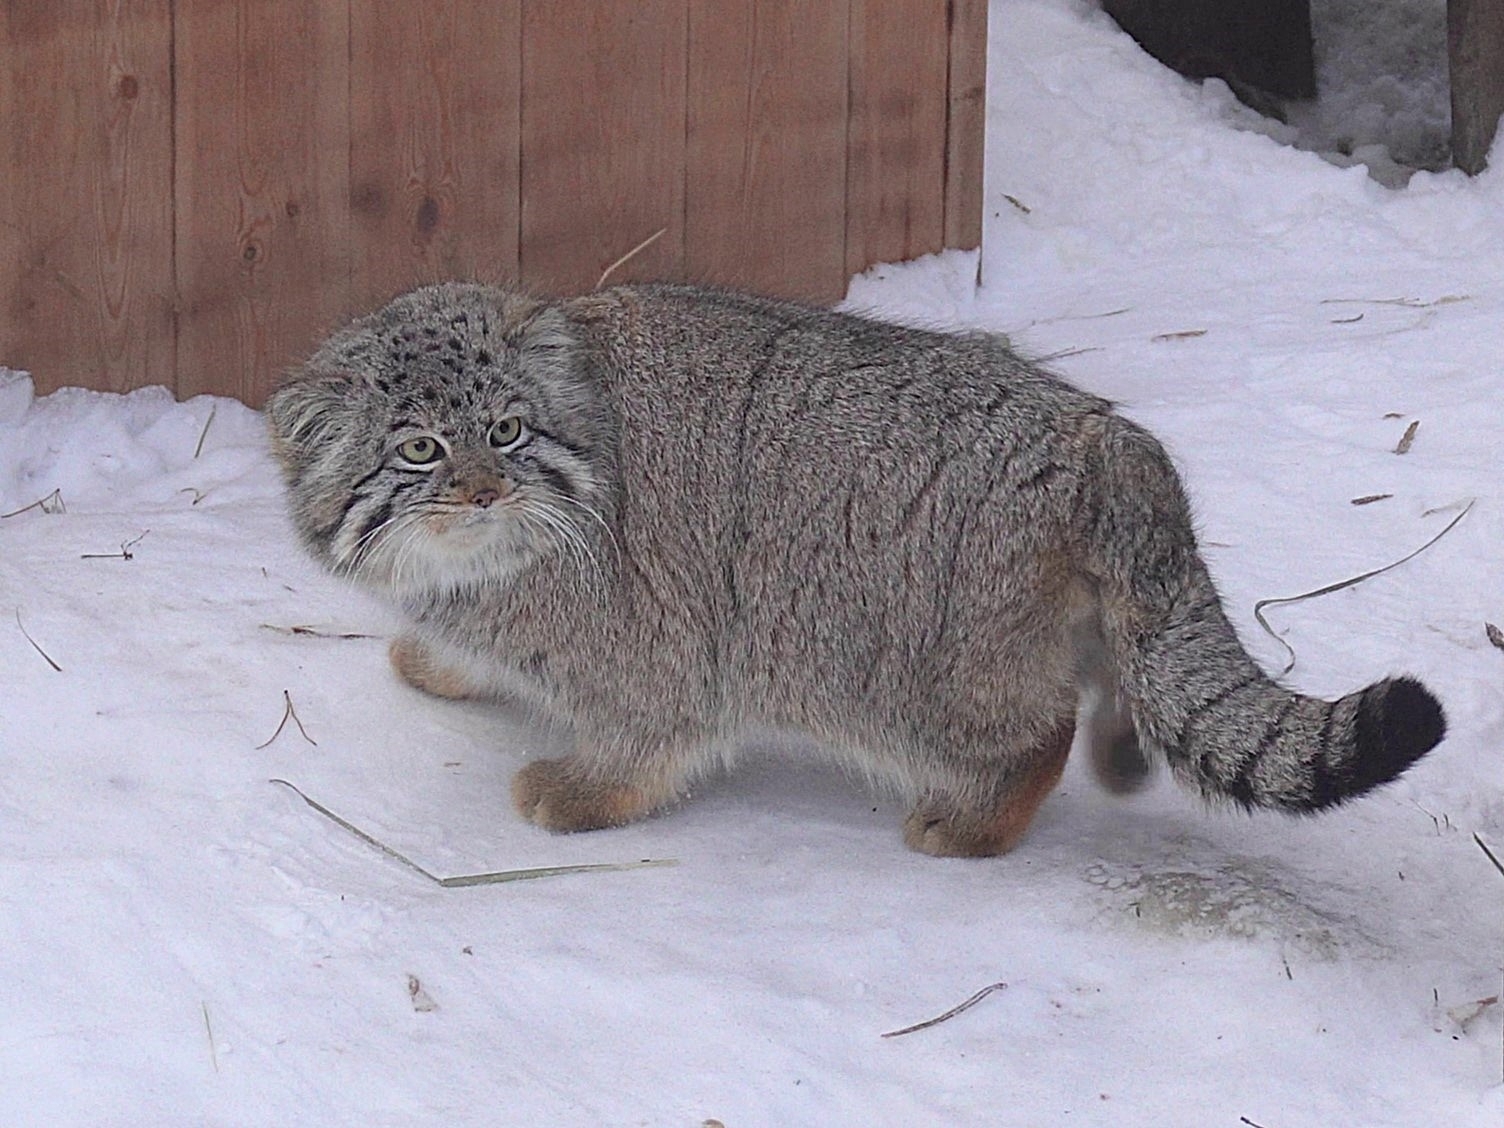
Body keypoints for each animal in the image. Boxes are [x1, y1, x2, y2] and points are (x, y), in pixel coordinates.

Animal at [266, 282, 1445, 857]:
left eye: (506, 432)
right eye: (422, 450)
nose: (481, 492)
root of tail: (1099, 437)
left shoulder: (660, 656)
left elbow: (645, 743)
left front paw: (581, 792)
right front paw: (440, 659)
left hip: (904, 661)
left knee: (1034, 735)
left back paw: (975, 821)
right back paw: (1121, 751)